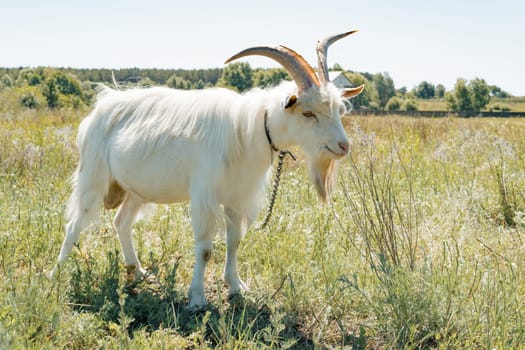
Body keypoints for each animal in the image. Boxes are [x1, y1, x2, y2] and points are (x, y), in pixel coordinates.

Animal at [53, 31, 364, 308]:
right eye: (308, 113)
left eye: (338, 110)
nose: (343, 146)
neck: (247, 130)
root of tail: (99, 109)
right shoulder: (204, 196)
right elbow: (204, 248)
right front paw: (197, 299)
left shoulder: (237, 197)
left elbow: (234, 241)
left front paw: (236, 286)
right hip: (93, 176)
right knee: (74, 225)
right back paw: (57, 274)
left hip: (137, 189)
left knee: (121, 222)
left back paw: (138, 272)